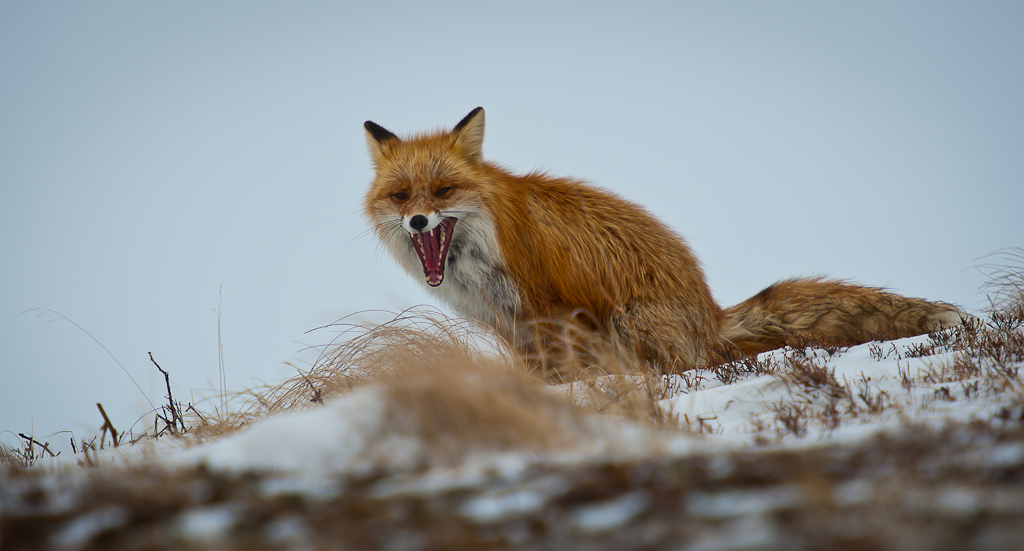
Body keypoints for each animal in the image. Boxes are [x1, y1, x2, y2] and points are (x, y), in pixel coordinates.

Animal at [364, 107, 962, 376]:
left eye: (444, 190)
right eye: (401, 195)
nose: (419, 222)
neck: (481, 256)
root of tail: (711, 312)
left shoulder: (550, 309)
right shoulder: (509, 325)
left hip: (631, 322)